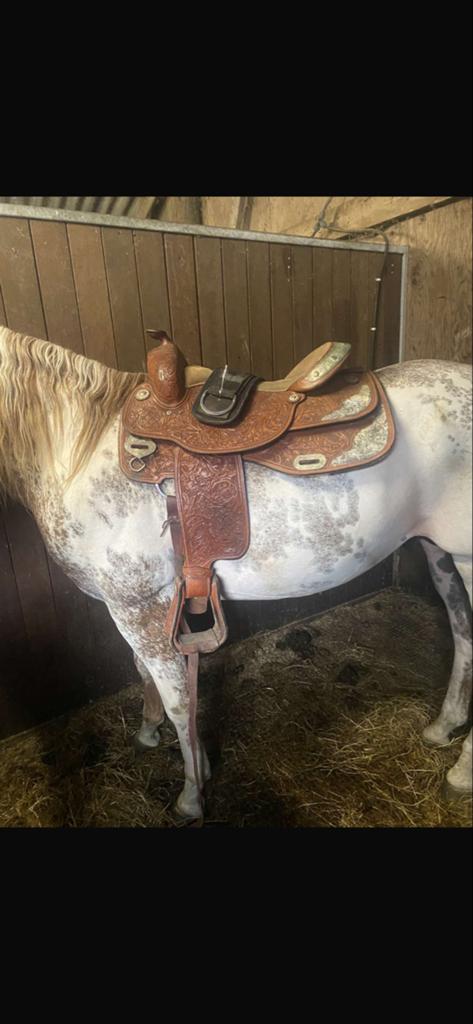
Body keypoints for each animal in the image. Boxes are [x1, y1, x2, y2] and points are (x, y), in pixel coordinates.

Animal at [0, 324, 471, 824]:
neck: (77, 453)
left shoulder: (134, 604)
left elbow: (177, 698)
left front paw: (193, 791)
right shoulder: (140, 604)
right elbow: (145, 672)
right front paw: (150, 733)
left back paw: (460, 774)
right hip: (439, 550)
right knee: (463, 633)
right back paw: (443, 726)